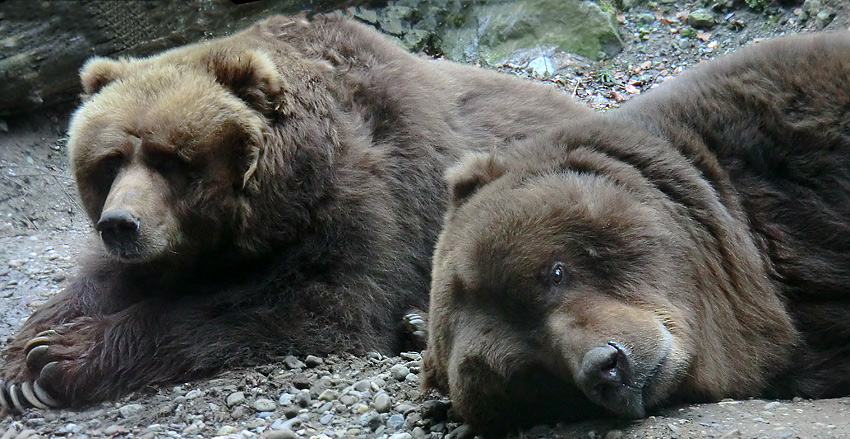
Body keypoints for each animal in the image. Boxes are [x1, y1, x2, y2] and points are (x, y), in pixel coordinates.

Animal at [0, 13, 588, 412]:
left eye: (172, 160)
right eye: (110, 160)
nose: (121, 224)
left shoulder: (369, 199)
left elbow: (310, 302)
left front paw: (59, 357)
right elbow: (101, 281)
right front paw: (22, 359)